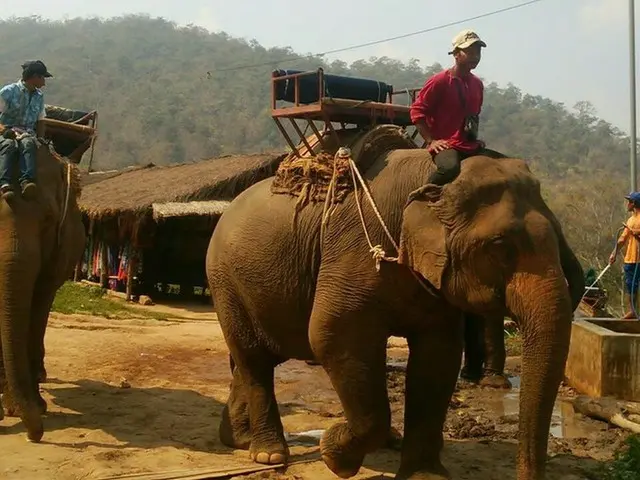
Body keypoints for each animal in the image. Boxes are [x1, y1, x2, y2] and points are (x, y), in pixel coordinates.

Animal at [206, 137, 584, 478]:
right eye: (500, 246)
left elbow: (439, 356)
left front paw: (424, 476)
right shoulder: (355, 248)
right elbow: (332, 336)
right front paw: (334, 456)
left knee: (255, 358)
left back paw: (238, 439)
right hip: (225, 280)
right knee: (253, 357)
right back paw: (268, 455)